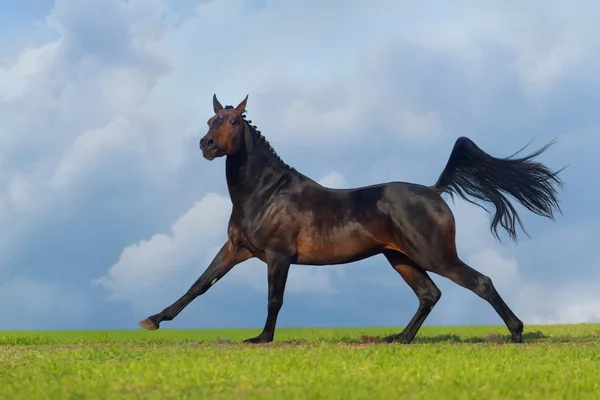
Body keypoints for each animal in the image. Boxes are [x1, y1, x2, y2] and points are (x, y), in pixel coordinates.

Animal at [138, 94, 564, 344]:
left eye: (233, 122)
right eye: (210, 121)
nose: (206, 145)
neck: (266, 193)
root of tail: (435, 190)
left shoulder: (278, 255)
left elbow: (274, 297)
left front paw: (261, 339)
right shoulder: (237, 248)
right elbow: (199, 284)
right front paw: (154, 320)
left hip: (434, 256)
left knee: (480, 283)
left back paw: (517, 334)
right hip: (401, 258)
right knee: (430, 295)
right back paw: (398, 339)